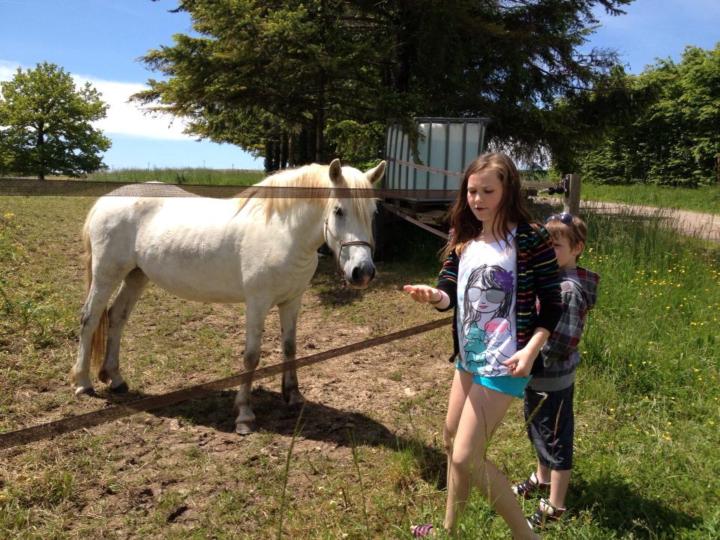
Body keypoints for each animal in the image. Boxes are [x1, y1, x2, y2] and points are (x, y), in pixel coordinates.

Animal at [72, 159, 385, 434]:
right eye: (339, 211)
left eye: (372, 213)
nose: (363, 272)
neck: (283, 232)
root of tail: (106, 200)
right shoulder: (257, 304)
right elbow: (251, 357)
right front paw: (244, 415)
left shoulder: (292, 301)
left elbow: (290, 348)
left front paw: (293, 396)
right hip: (106, 276)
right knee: (90, 319)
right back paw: (83, 382)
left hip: (136, 276)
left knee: (117, 317)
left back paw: (115, 379)